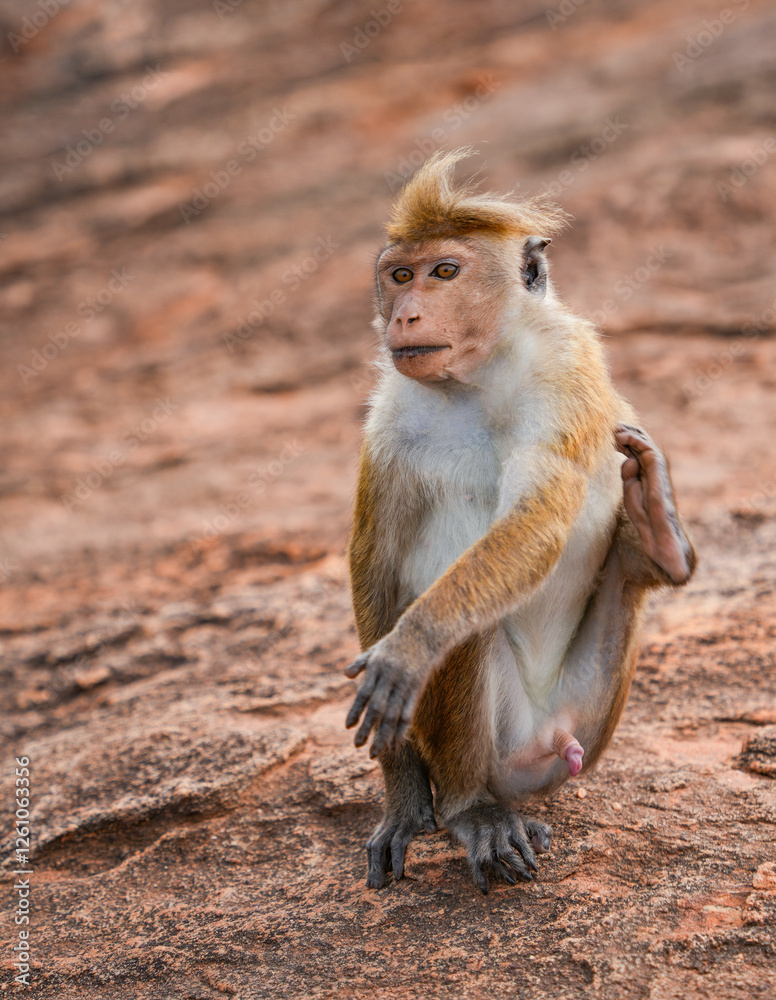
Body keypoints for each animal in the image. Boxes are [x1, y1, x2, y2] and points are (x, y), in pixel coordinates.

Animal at [344, 148, 696, 894]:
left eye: (446, 272)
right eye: (400, 275)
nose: (406, 315)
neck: (474, 377)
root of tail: (549, 744)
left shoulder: (563, 369)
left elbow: (534, 521)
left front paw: (412, 643)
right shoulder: (389, 415)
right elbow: (378, 566)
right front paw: (402, 798)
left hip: (590, 713)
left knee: (474, 610)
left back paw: (657, 543)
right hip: (521, 742)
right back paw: (468, 807)